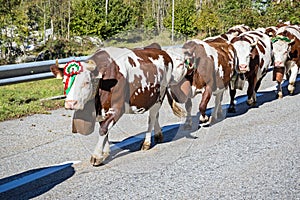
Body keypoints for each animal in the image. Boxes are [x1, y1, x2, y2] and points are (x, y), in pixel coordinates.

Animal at [54, 45, 185, 166]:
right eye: (64, 82)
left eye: (86, 82)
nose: (70, 103)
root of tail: (162, 52)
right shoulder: (102, 110)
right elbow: (104, 129)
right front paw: (105, 153)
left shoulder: (117, 109)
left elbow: (103, 129)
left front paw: (97, 156)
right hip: (152, 98)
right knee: (155, 115)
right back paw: (158, 135)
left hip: (160, 94)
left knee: (152, 117)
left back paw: (146, 143)